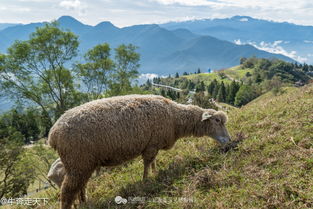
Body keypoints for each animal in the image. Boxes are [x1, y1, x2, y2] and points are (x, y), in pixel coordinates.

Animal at [47, 94, 230, 209]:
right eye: (217, 120)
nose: (228, 141)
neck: (175, 118)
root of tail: (53, 134)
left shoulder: (154, 144)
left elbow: (153, 161)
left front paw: (156, 173)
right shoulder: (151, 145)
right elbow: (147, 163)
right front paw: (146, 180)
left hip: (83, 165)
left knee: (80, 188)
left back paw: (85, 203)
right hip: (77, 162)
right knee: (67, 193)